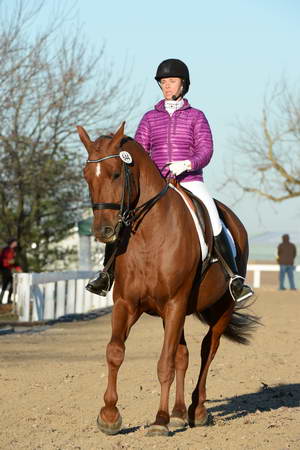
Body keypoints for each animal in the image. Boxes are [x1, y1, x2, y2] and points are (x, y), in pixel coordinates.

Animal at [77, 122, 258, 436]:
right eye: (87, 176)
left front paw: (159, 421)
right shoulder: (127, 304)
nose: (103, 231)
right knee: (183, 355)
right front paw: (109, 416)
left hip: (221, 308)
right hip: (176, 313)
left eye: (115, 173)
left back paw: (196, 410)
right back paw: (179, 413)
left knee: (208, 350)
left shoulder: (174, 304)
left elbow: (165, 363)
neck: (150, 238)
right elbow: (115, 351)